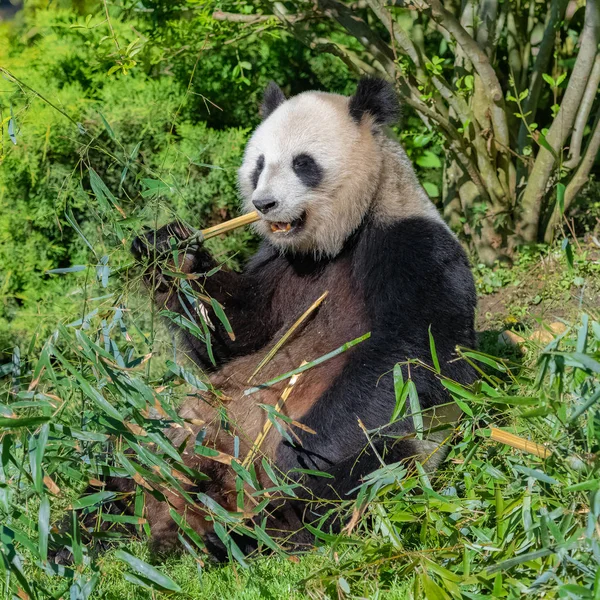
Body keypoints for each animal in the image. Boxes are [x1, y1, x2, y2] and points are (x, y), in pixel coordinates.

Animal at [132, 77, 478, 556]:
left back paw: (263, 527)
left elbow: (413, 359)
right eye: (259, 165)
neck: (335, 240)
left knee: (362, 471)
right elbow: (236, 336)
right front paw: (168, 252)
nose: (264, 203)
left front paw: (294, 460)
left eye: (303, 164)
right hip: (203, 422)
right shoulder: (281, 264)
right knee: (155, 448)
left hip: (400, 458)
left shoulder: (411, 246)